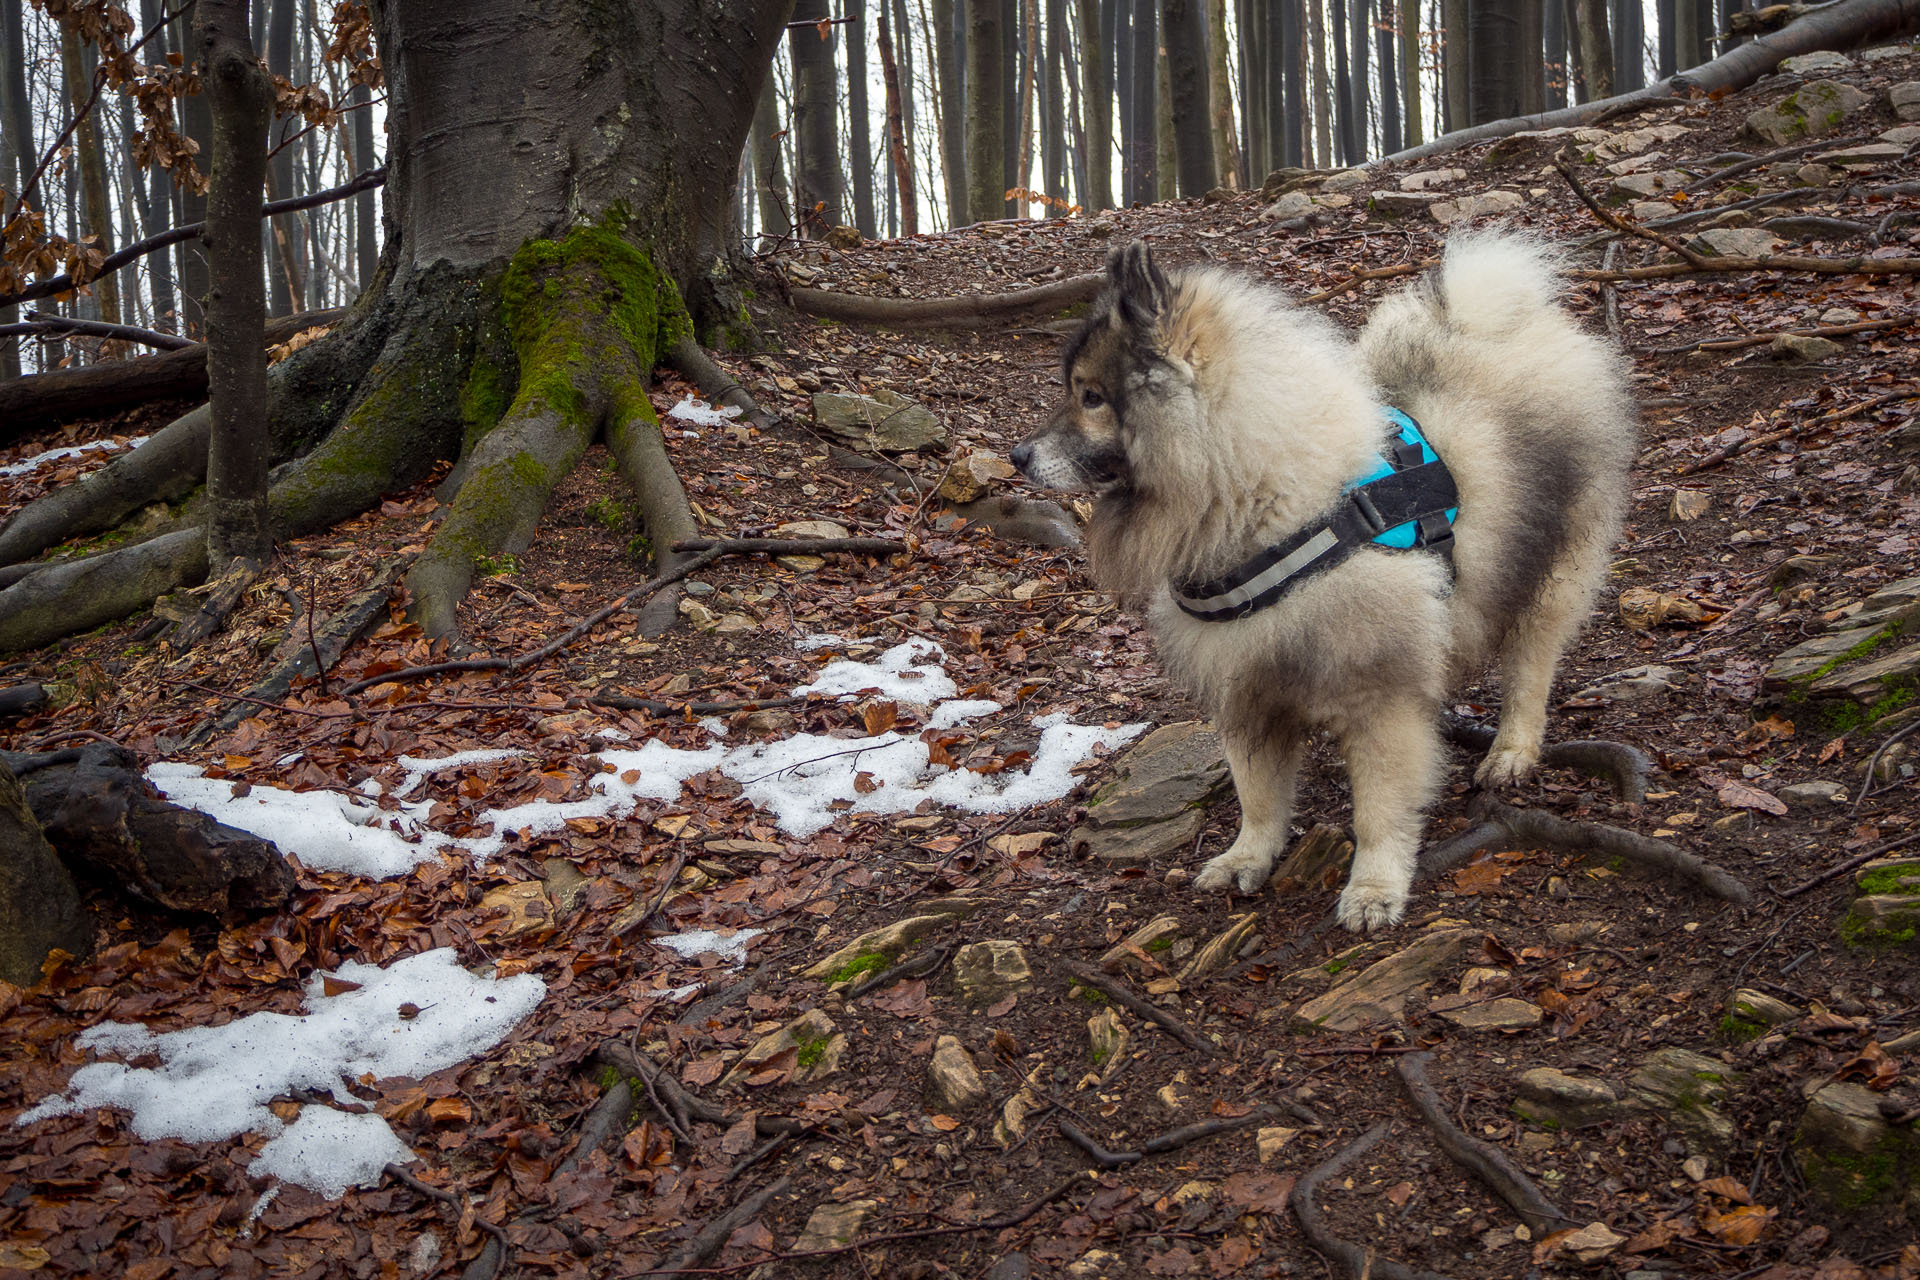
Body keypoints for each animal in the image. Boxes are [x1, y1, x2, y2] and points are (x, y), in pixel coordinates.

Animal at [1013, 233, 1628, 932]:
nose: (1018, 456)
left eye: (1091, 396)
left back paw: (1512, 753)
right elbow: (1257, 797)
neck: (1262, 505)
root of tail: (1506, 323)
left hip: (1553, 575)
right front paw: (1247, 857)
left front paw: (1374, 888)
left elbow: (1379, 810)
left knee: (1529, 671)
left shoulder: (1377, 699)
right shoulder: (1247, 693)